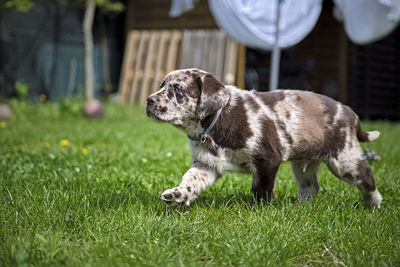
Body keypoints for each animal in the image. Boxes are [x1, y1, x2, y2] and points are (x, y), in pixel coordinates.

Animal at [145, 68, 382, 208]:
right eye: (161, 86)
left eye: (178, 89)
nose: (148, 101)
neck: (216, 121)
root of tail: (351, 114)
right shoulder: (207, 164)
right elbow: (190, 180)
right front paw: (178, 195)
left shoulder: (267, 159)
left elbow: (261, 189)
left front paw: (262, 211)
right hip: (303, 164)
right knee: (311, 186)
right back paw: (302, 208)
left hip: (343, 159)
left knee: (366, 175)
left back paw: (373, 204)